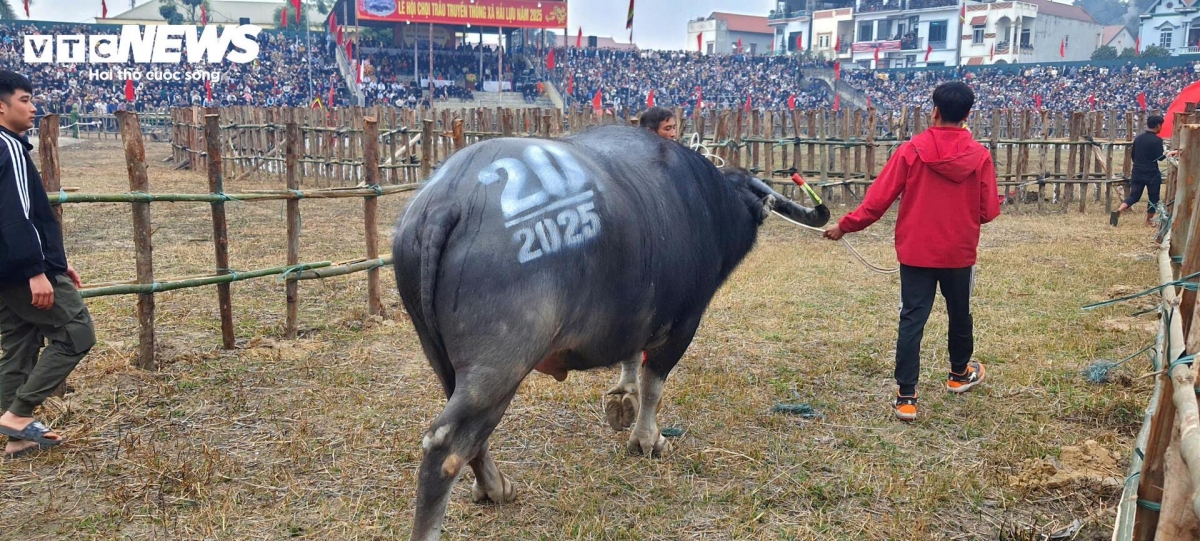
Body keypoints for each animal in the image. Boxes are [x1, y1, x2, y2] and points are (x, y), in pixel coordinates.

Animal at [391, 124, 825, 539]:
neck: (706, 202)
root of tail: (446, 202)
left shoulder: (633, 316)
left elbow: (632, 358)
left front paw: (622, 397)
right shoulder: (684, 322)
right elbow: (654, 384)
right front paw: (647, 440)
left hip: (442, 358)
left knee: (471, 437)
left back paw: (494, 487)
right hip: (500, 364)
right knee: (445, 445)